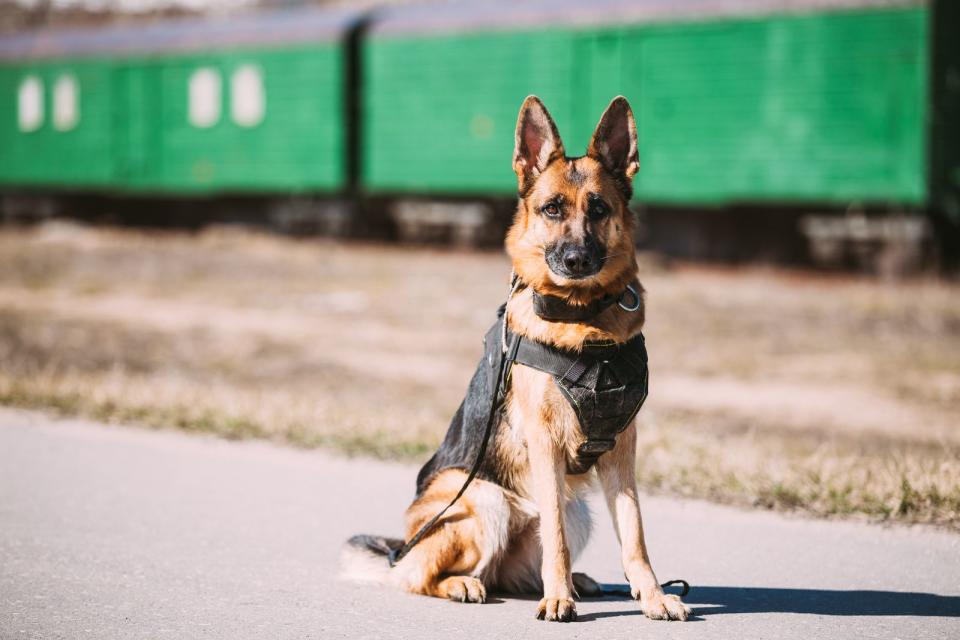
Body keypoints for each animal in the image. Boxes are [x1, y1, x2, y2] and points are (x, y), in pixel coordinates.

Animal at [344, 97, 688, 624]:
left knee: (512, 571)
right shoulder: (545, 442)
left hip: (576, 509)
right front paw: (558, 598)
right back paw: (468, 584)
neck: (584, 320)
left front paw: (650, 596)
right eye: (552, 209)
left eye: (599, 209)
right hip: (484, 500)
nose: (575, 260)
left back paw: (576, 582)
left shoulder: (622, 450)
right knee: (423, 576)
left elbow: (634, 534)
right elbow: (557, 541)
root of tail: (400, 547)